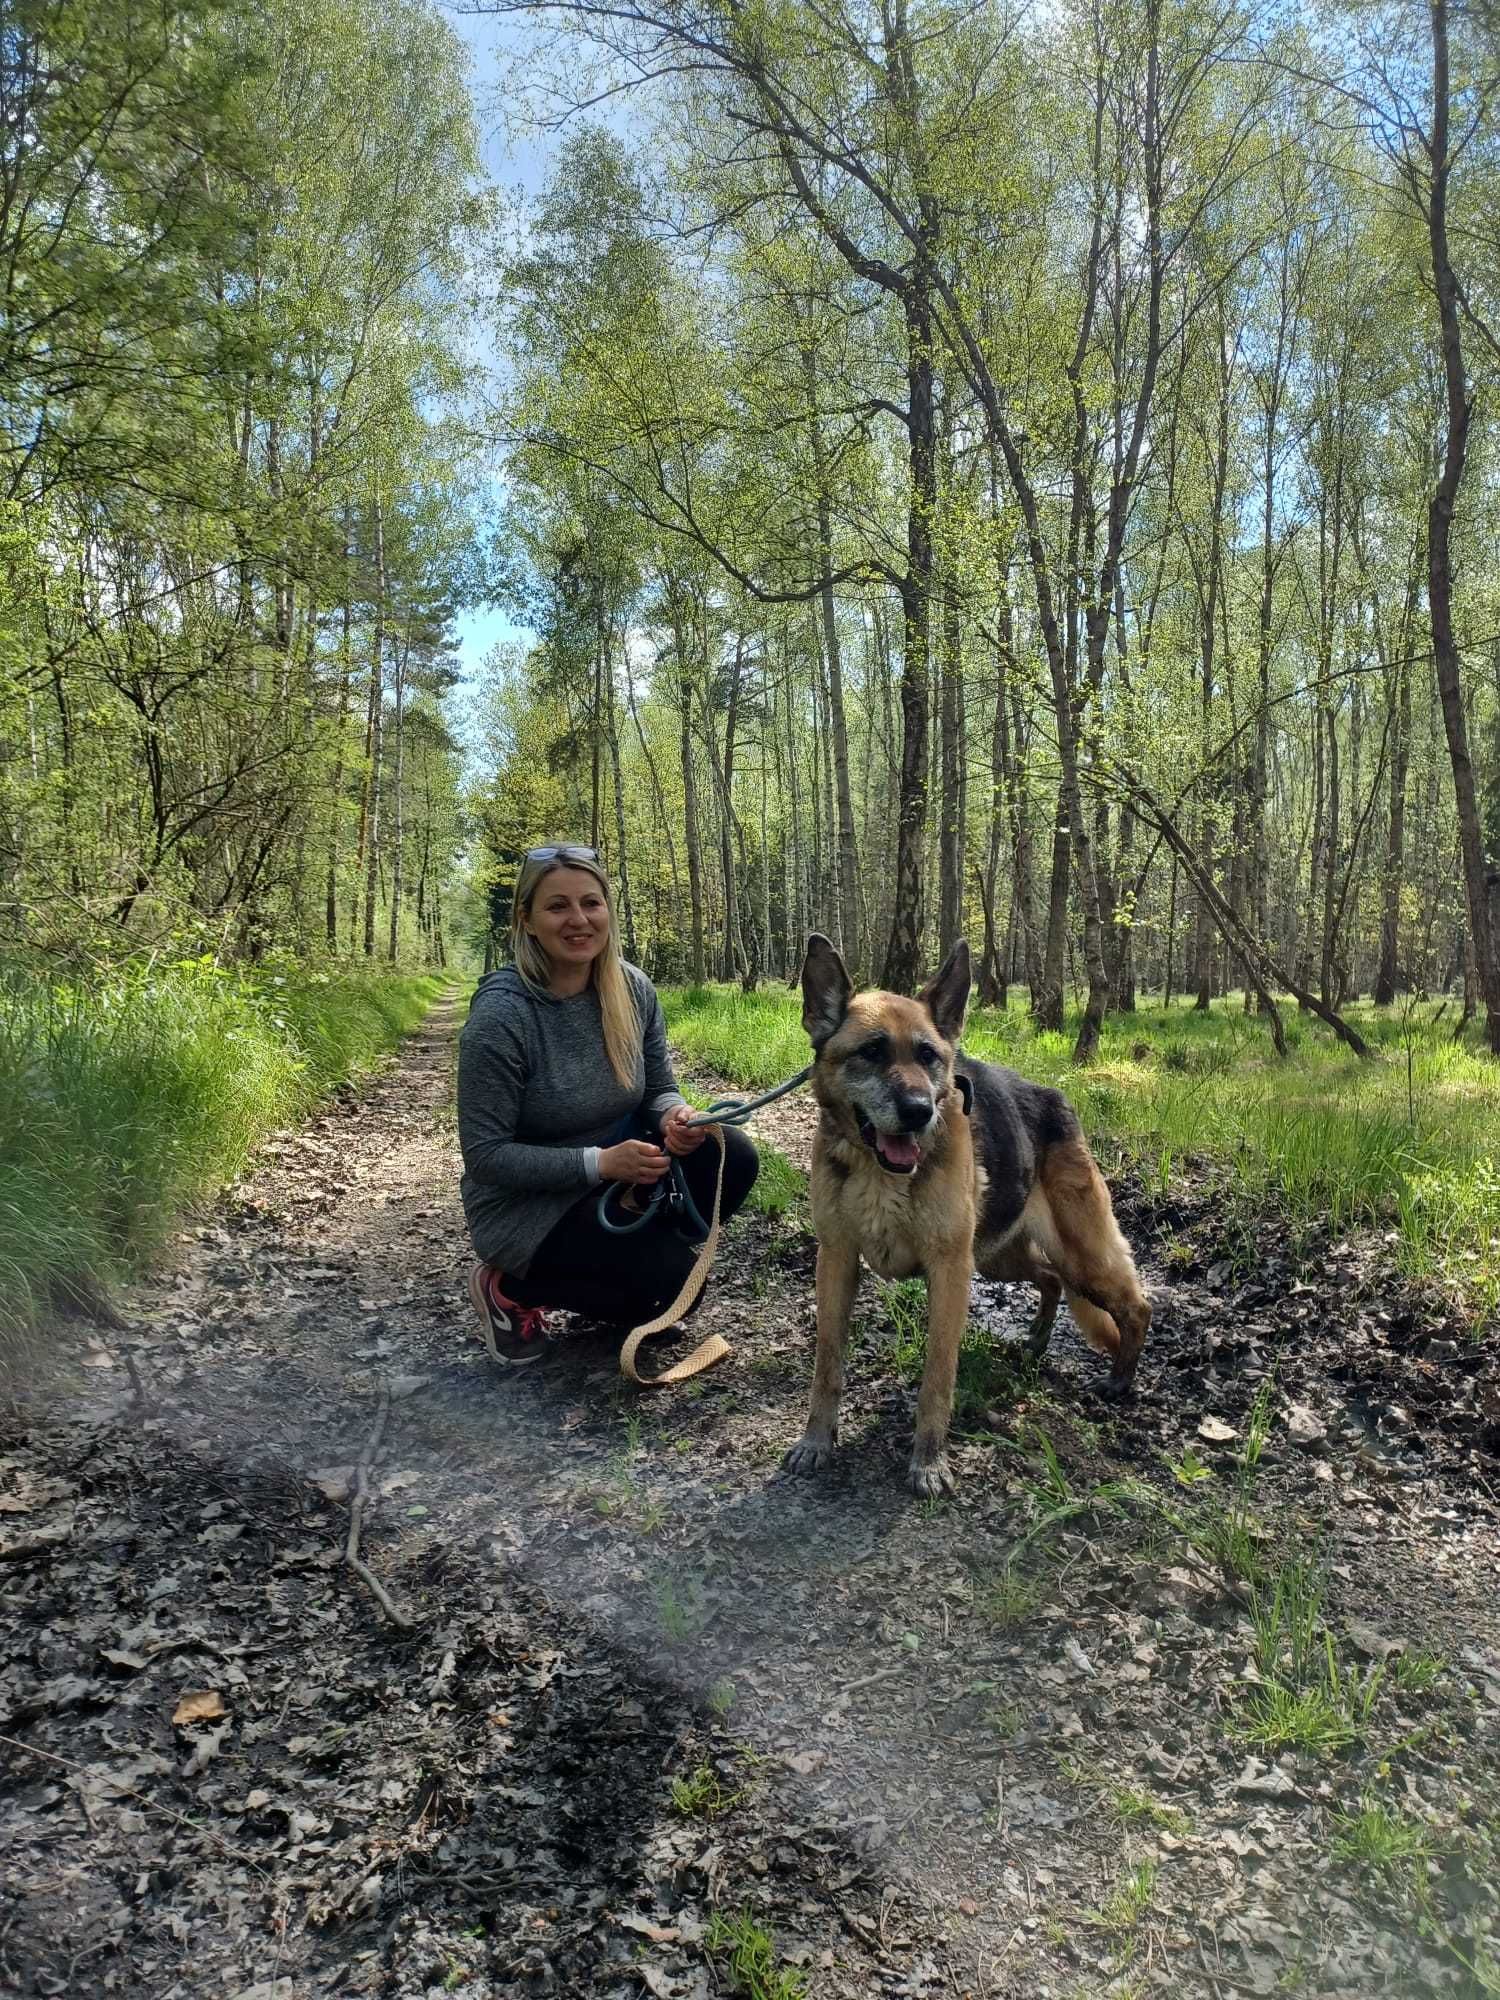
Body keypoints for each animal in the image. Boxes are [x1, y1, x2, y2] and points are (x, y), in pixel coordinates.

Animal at [788, 932, 1152, 1488]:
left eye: (929, 1055)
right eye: (870, 1052)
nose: (920, 1112)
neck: (881, 1173)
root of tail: (1056, 1098)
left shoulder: (949, 1273)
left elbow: (938, 1376)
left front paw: (929, 1460)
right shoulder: (837, 1262)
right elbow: (827, 1364)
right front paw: (816, 1440)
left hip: (1077, 1256)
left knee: (1136, 1306)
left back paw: (1120, 1380)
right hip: (999, 1256)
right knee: (1049, 1279)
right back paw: (1036, 1342)